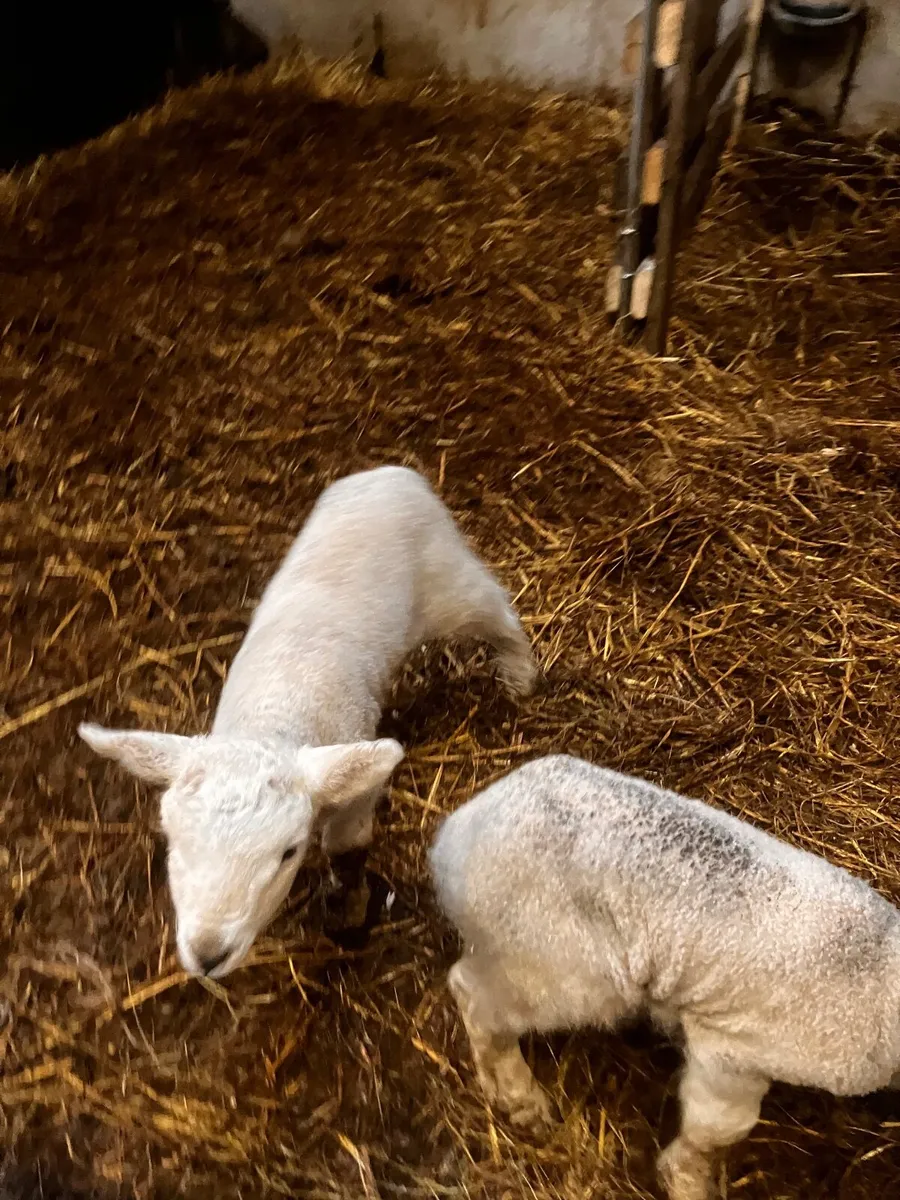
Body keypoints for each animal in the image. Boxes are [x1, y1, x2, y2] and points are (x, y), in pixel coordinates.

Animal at [79, 465, 537, 980]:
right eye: (172, 841)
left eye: (288, 852)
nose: (208, 955)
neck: (272, 716)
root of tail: (391, 473)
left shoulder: (355, 781)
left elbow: (347, 844)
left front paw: (348, 906)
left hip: (449, 583)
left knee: (496, 609)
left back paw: (521, 674)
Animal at [428, 753, 900, 1200]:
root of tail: (453, 837)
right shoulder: (732, 1053)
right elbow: (718, 1127)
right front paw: (687, 1182)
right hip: (559, 965)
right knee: (474, 995)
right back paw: (520, 1099)